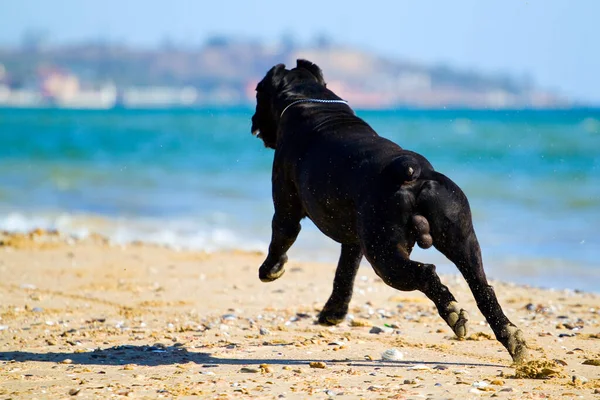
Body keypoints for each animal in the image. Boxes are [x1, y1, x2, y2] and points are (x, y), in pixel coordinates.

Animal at [251, 58, 528, 362]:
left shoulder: (286, 211)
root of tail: (415, 173)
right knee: (482, 288)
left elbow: (280, 242)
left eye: (257, 94)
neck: (309, 100)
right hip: (460, 241)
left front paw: (270, 269)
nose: (252, 122)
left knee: (426, 273)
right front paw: (334, 312)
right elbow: (344, 275)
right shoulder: (354, 242)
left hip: (385, 258)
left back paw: (453, 312)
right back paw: (511, 337)